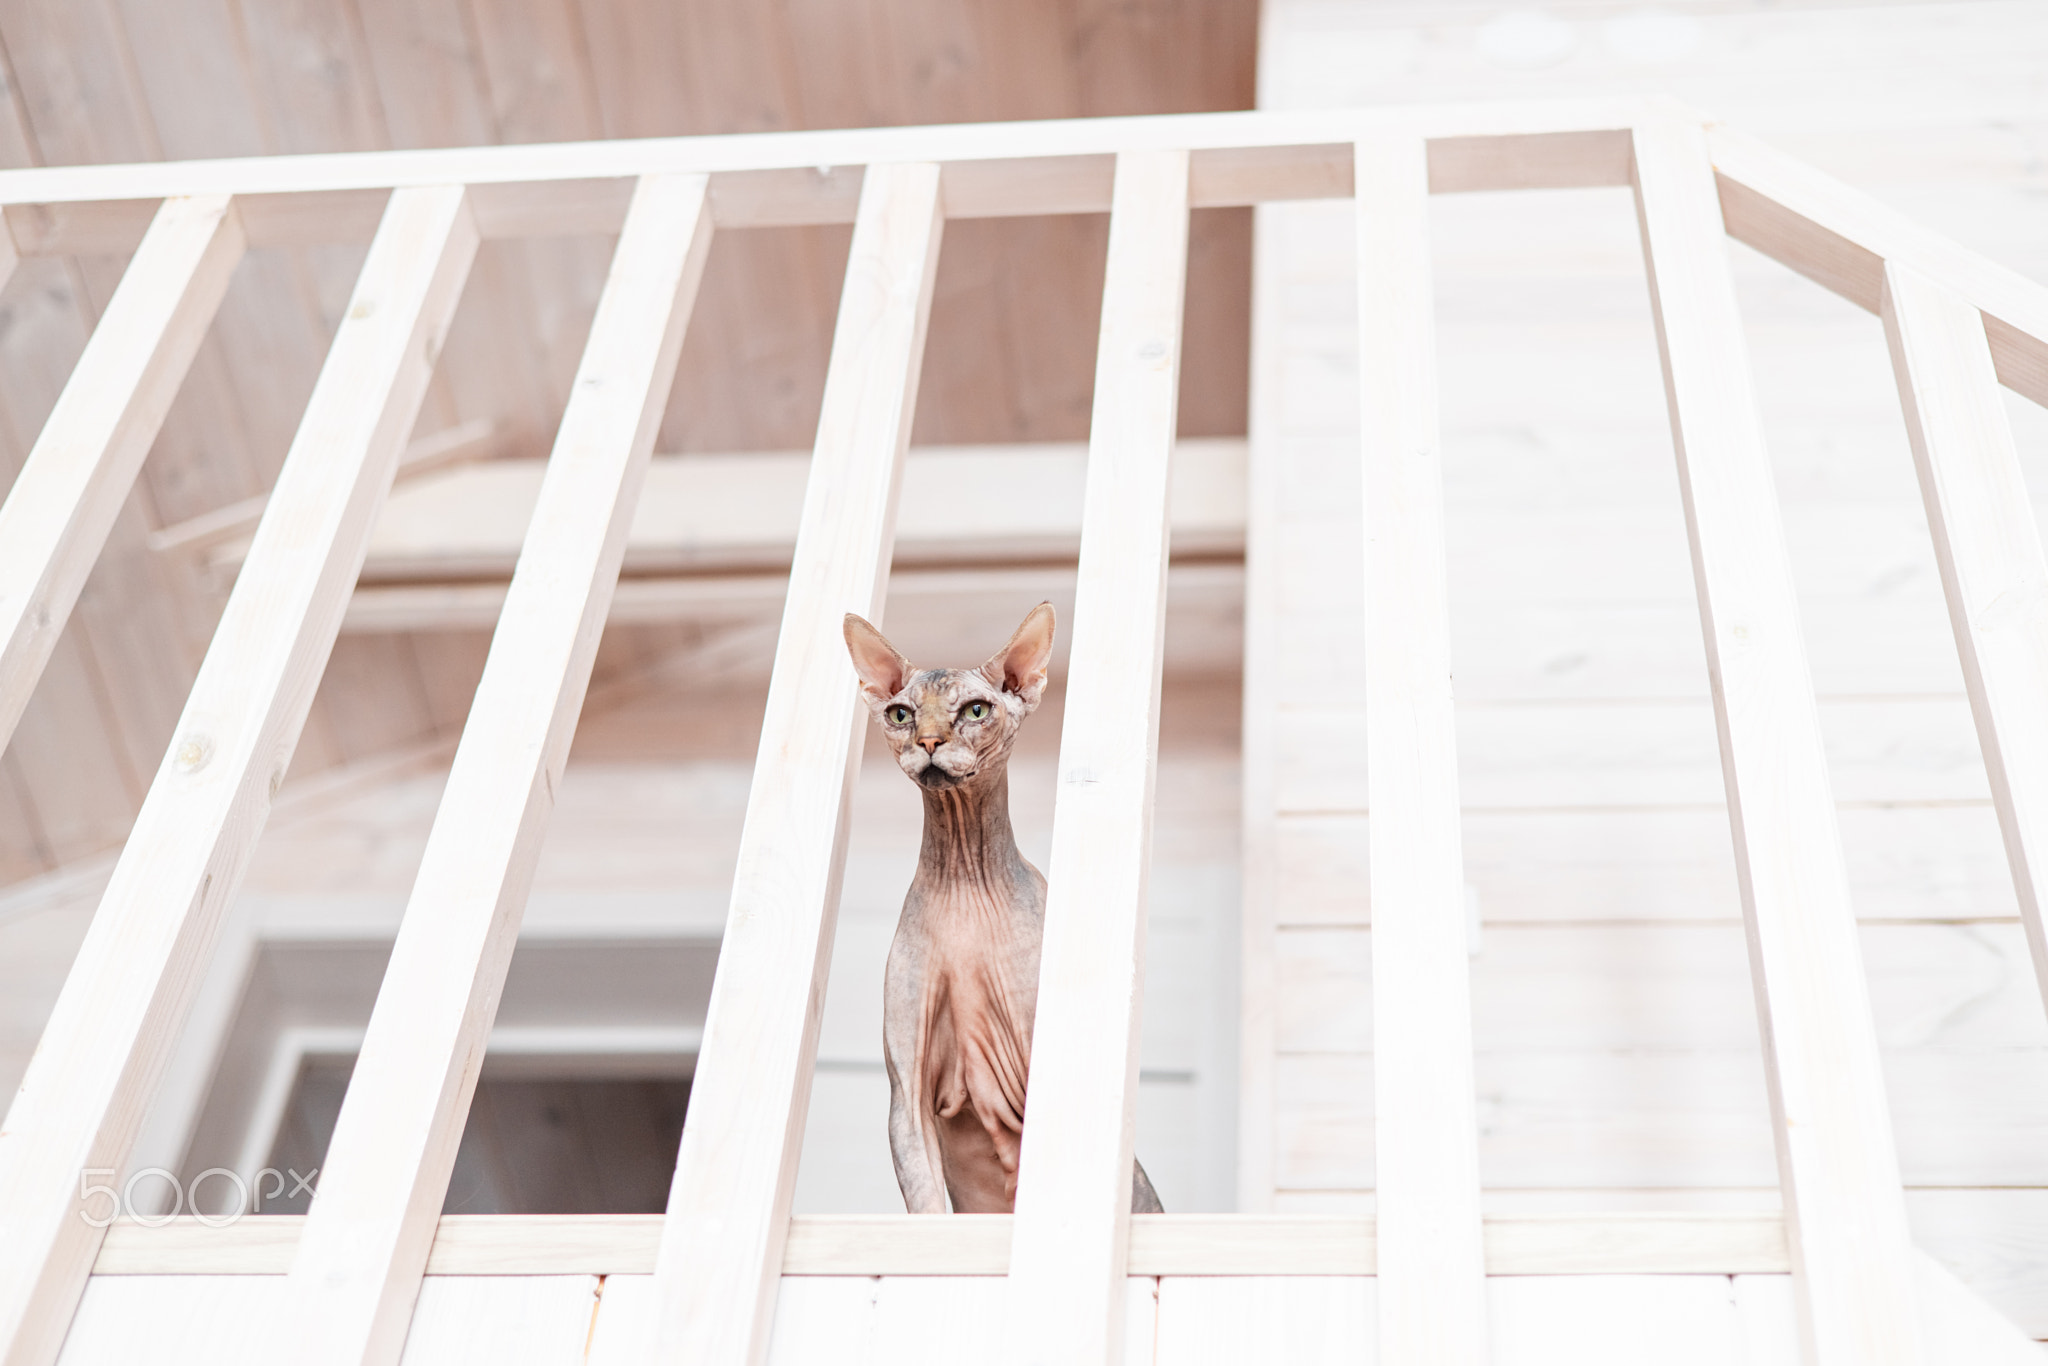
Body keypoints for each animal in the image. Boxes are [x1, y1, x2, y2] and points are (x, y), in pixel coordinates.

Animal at [839, 602, 1163, 1212]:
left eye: (975, 710)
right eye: (900, 714)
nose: (929, 742)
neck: (965, 877)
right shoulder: (906, 1096)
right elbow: (925, 1205)